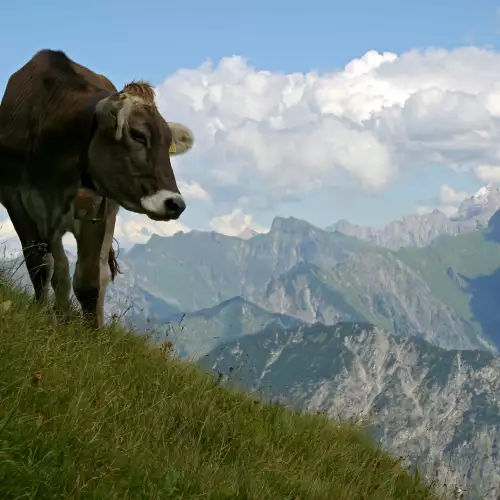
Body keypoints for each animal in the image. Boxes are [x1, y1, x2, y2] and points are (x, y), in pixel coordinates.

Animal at [0, 49, 195, 328]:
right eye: (138, 134)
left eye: (168, 143)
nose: (175, 203)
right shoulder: (16, 202)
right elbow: (41, 266)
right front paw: (46, 315)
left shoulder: (99, 211)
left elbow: (89, 282)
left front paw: (91, 334)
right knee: (59, 267)